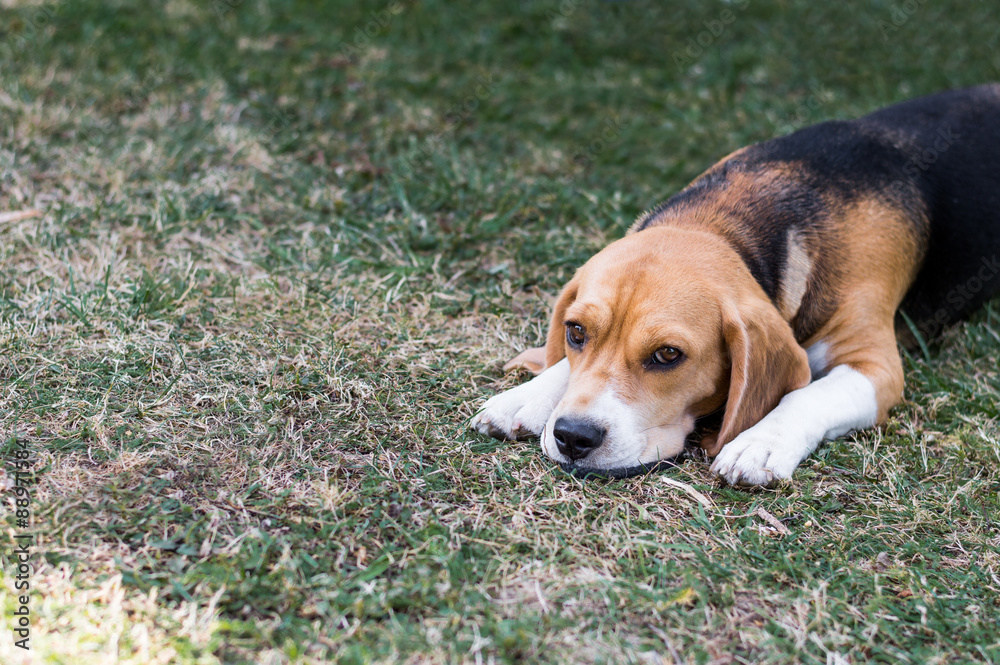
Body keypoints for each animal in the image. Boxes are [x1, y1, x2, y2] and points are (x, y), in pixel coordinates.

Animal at [472, 85, 1000, 486]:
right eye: (576, 332)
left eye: (668, 355)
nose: (574, 437)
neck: (726, 224)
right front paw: (530, 394)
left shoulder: (875, 364)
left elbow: (806, 393)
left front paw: (760, 442)